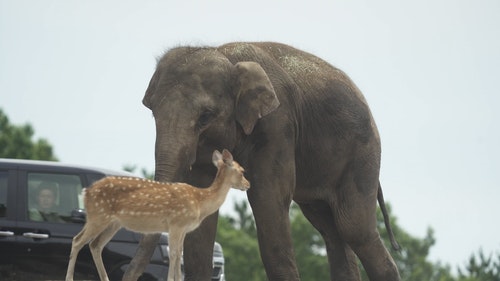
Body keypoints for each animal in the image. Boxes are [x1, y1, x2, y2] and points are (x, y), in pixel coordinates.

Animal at [65, 149, 249, 280]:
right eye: (242, 171)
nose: (248, 184)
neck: (200, 202)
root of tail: (86, 192)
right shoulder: (176, 223)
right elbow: (174, 254)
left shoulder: (183, 229)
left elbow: (179, 254)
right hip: (98, 216)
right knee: (77, 240)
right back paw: (70, 278)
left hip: (112, 223)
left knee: (95, 245)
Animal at [125, 41, 402, 280]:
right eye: (153, 112)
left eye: (205, 116)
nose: (127, 273)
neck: (226, 56)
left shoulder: (278, 124)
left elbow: (268, 198)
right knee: (330, 229)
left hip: (362, 153)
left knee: (354, 227)